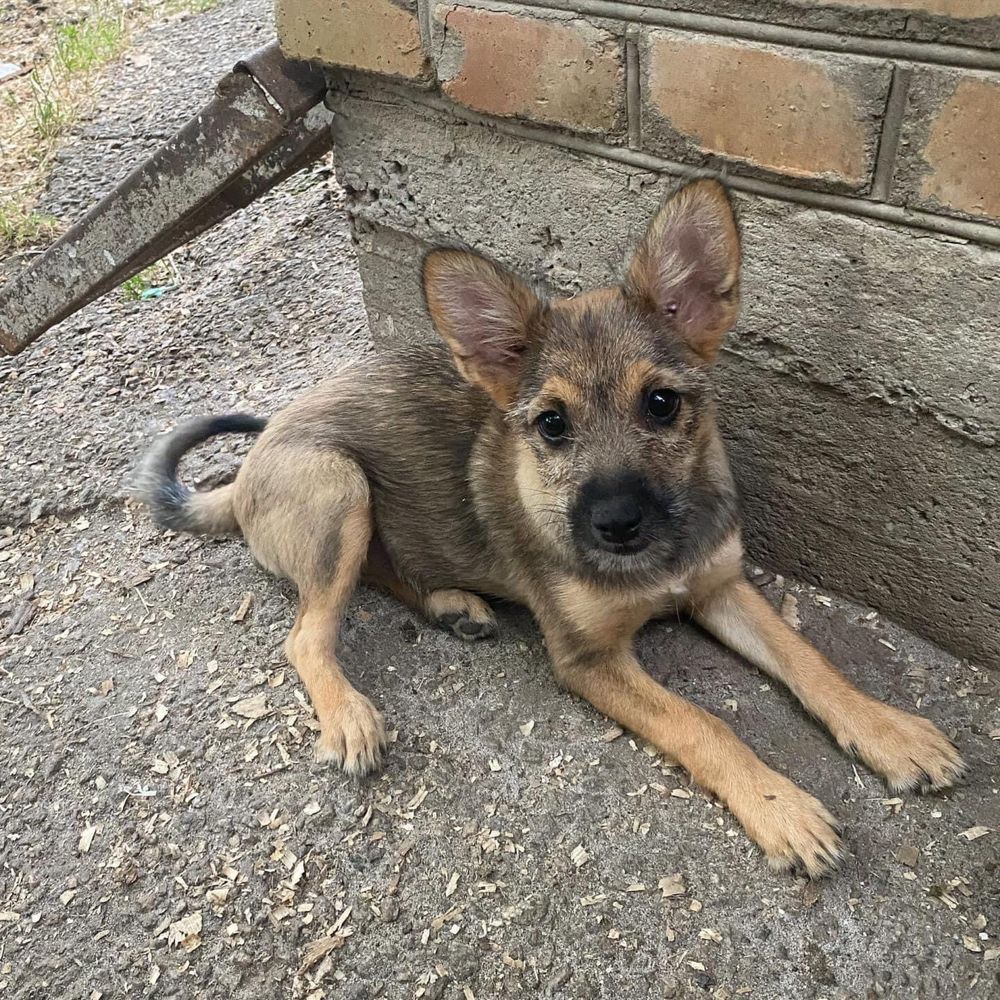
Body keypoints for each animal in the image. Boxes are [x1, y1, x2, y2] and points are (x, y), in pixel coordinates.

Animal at [133, 180, 960, 876]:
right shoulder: (587, 658)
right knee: (307, 631)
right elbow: (704, 723)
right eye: (552, 425)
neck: (659, 562)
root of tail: (246, 470)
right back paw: (348, 715)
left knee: (374, 574)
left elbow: (810, 661)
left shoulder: (719, 585)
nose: (617, 525)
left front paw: (889, 732)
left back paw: (452, 605)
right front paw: (780, 806)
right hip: (337, 486)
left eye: (661, 404)